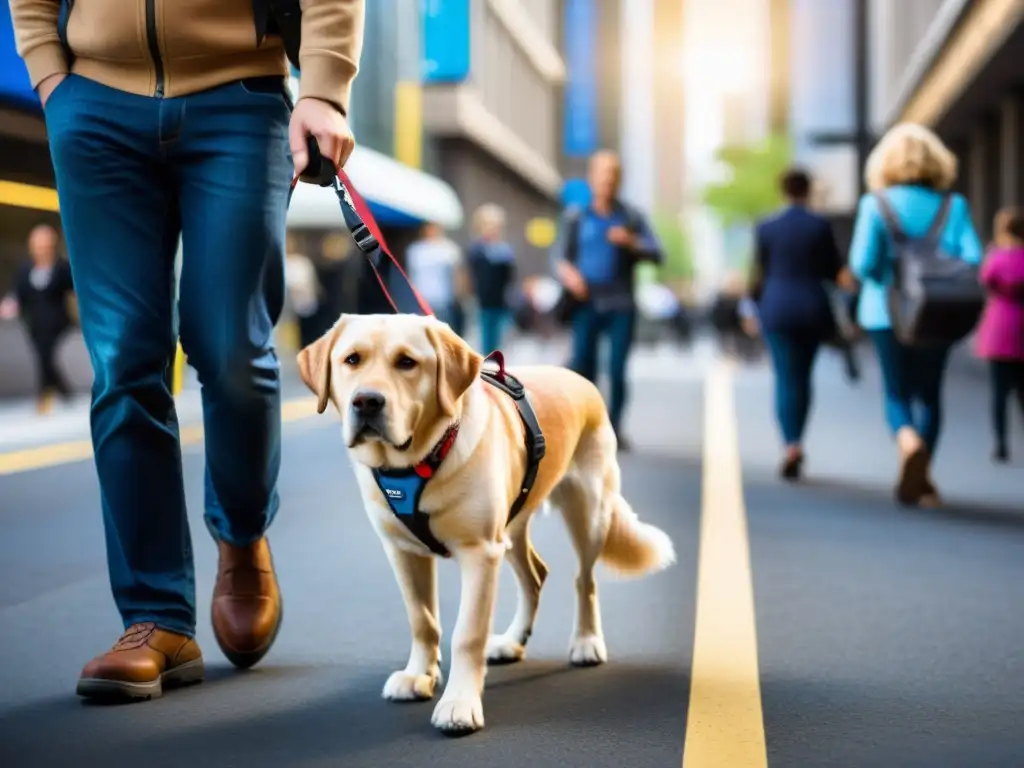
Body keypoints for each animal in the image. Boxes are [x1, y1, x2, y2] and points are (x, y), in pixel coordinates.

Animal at [299, 315, 671, 737]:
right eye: (352, 359)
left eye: (407, 362)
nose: (366, 401)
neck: (418, 461)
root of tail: (578, 377)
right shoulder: (403, 551)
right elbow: (421, 619)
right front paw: (419, 675)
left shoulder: (479, 553)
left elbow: (467, 633)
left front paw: (459, 703)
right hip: (510, 529)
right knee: (535, 576)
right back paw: (512, 641)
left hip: (588, 511)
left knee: (584, 580)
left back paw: (587, 642)